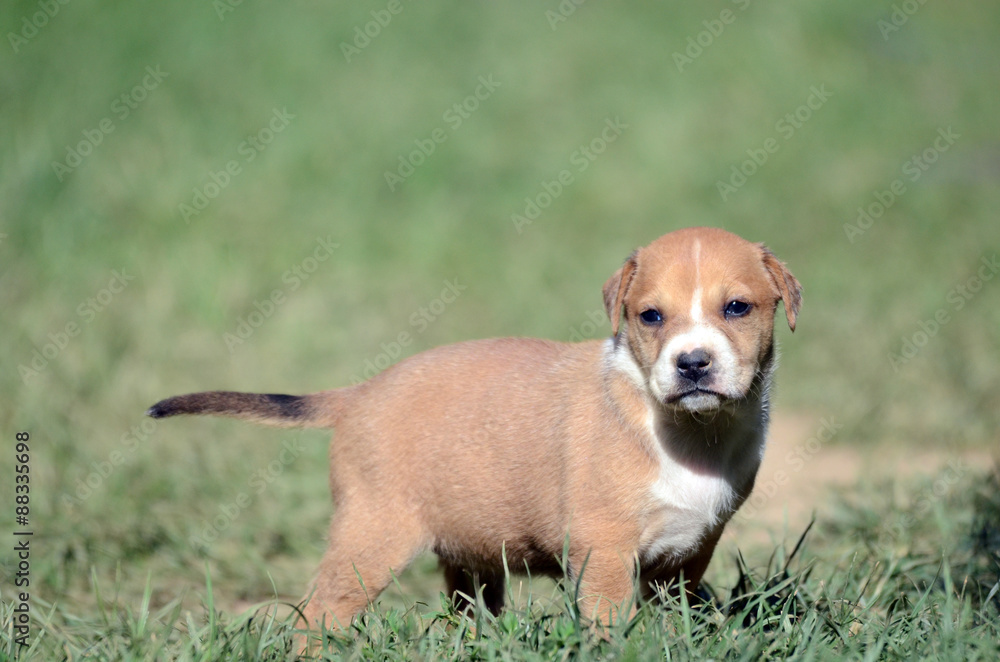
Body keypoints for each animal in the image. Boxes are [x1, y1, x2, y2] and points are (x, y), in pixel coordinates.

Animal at [148, 227, 800, 632]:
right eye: (651, 317)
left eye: (737, 308)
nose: (693, 364)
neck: (690, 432)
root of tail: (358, 394)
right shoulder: (605, 554)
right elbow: (610, 626)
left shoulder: (689, 554)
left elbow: (679, 614)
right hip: (370, 539)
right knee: (319, 615)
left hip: (468, 554)